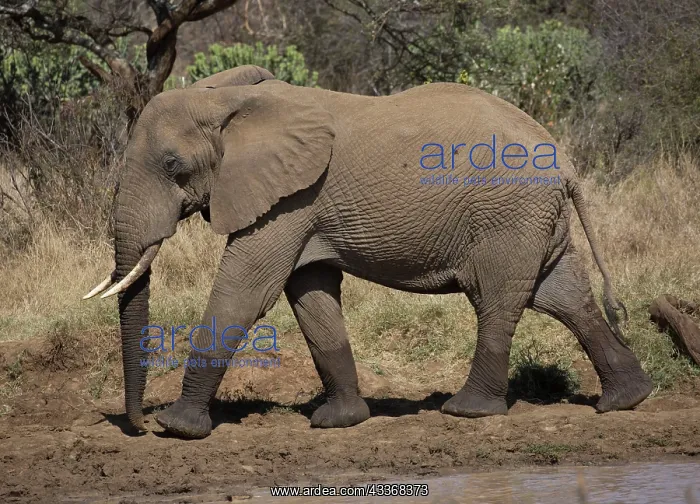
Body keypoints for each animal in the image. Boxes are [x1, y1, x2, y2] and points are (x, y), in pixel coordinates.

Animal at [84, 65, 653, 439]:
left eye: (173, 164)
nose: (137, 425)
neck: (229, 101)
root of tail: (564, 161)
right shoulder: (300, 205)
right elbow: (310, 293)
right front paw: (339, 422)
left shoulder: (291, 198)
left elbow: (246, 290)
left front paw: (179, 428)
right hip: (536, 221)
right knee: (564, 297)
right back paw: (627, 400)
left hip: (507, 218)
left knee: (498, 300)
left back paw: (467, 412)